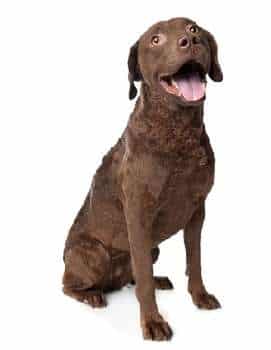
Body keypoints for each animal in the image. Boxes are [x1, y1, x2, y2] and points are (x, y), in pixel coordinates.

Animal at [62, 17, 224, 340]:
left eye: (193, 29)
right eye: (156, 39)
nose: (190, 41)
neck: (179, 133)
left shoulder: (197, 211)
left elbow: (195, 260)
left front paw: (199, 296)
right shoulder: (138, 215)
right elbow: (145, 280)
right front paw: (153, 322)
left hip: (153, 247)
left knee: (135, 275)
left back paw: (156, 279)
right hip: (94, 253)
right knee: (70, 284)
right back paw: (92, 295)